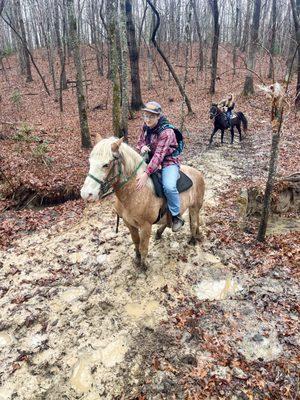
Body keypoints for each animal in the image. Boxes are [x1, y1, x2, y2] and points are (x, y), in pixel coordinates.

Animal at [81, 136, 205, 270]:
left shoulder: (146, 226)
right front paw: (137, 258)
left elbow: (144, 246)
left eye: (106, 164)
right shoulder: (129, 223)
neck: (134, 191)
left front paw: (144, 265)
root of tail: (197, 173)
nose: (86, 194)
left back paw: (192, 239)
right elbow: (136, 241)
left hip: (194, 207)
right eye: (90, 162)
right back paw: (162, 232)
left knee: (193, 223)